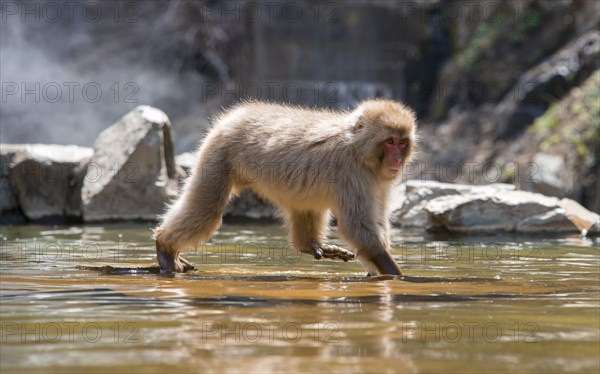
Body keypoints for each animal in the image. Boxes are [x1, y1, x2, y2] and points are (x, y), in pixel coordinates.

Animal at [155, 98, 418, 276]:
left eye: (402, 142)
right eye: (390, 141)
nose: (396, 159)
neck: (358, 149)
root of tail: (235, 114)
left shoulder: (378, 180)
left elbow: (377, 221)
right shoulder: (352, 173)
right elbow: (357, 226)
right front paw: (395, 274)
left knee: (306, 204)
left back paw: (310, 246)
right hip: (218, 154)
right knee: (207, 209)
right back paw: (164, 247)